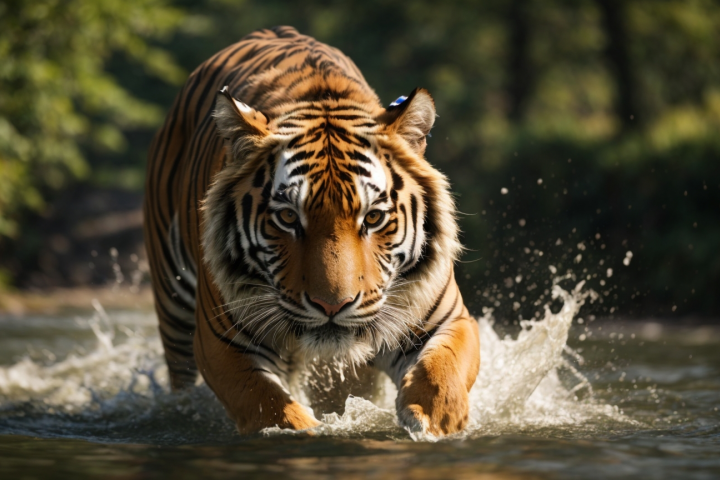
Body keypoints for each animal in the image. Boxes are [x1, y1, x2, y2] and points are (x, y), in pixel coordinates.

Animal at [143, 26, 479, 436]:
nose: (332, 306)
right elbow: (268, 405)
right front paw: (309, 431)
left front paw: (430, 423)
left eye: (372, 218)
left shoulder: (447, 318)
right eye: (288, 217)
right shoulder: (221, 341)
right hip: (173, 305)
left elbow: (441, 373)